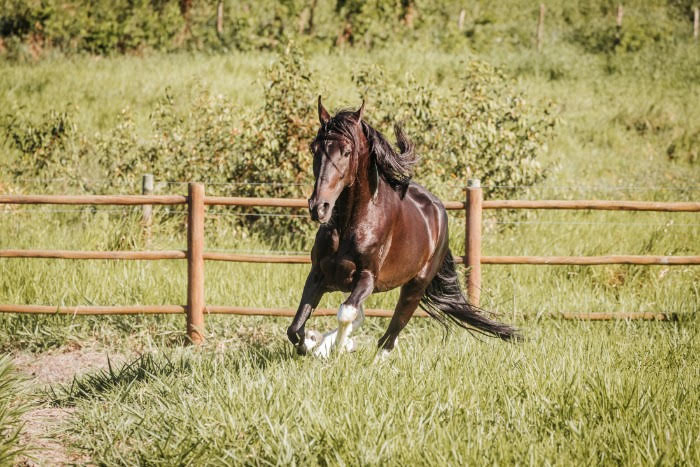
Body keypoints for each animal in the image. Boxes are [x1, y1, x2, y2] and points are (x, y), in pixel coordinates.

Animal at [286, 97, 520, 356]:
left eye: (346, 152)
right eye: (314, 149)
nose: (319, 207)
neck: (350, 224)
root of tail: (438, 213)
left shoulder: (367, 278)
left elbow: (345, 313)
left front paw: (336, 348)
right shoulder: (319, 273)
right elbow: (296, 328)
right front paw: (315, 342)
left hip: (415, 288)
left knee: (389, 336)